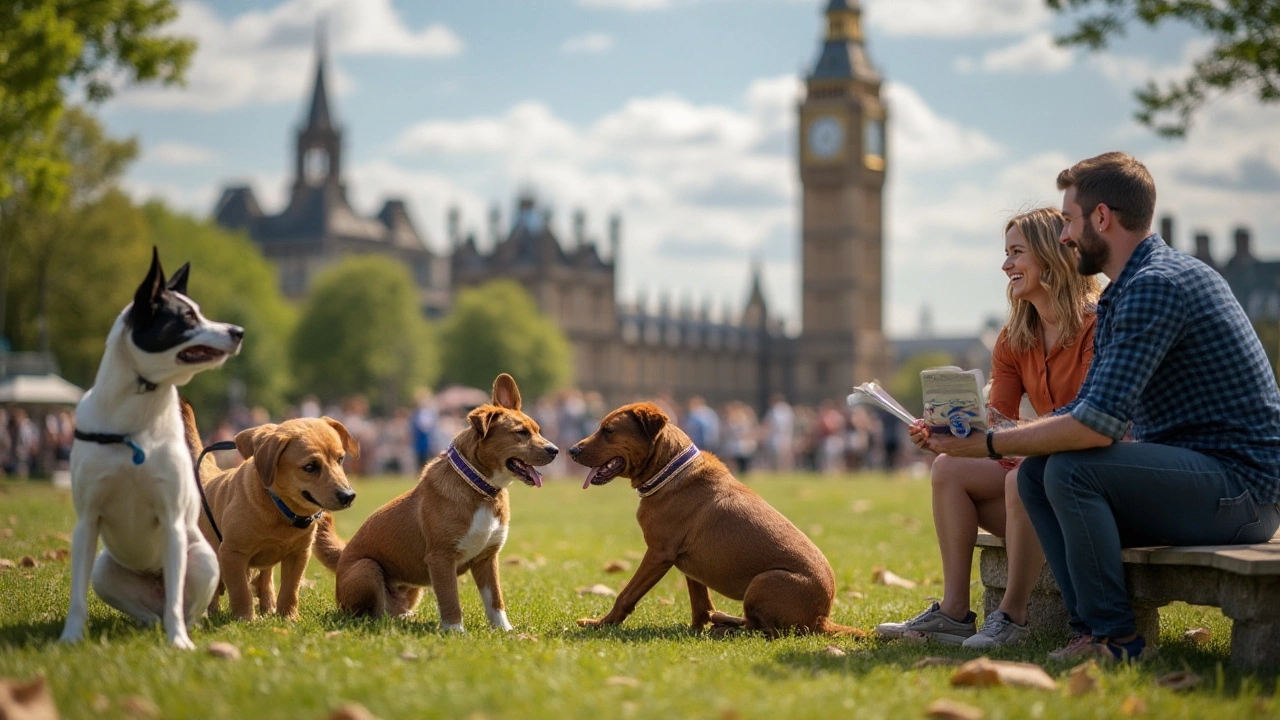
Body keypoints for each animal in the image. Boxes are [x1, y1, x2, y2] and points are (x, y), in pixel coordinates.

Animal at [60, 249, 244, 648]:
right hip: (104, 569)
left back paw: (183, 629)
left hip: (203, 558)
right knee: (150, 612)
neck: (135, 422)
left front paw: (179, 644)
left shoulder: (173, 521)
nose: (238, 332)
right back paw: (146, 626)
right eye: (187, 317)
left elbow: (177, 602)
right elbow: (77, 597)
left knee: (182, 606)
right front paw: (70, 637)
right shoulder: (86, 522)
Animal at [181, 399, 360, 620]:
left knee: (265, 582)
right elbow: (240, 591)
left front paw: (288, 617)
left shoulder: (299, 554)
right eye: (310, 467)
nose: (348, 496)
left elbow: (290, 589)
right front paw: (245, 619)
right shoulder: (232, 553)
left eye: (341, 459)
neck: (280, 510)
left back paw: (268, 607)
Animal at [312, 371, 558, 630]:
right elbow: (450, 600)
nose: (555, 450)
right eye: (521, 433)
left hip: (411, 589)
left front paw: (505, 630)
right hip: (367, 569)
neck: (480, 491)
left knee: (394, 610)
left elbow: (496, 601)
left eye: (538, 430)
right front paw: (455, 631)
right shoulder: (441, 558)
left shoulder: (487, 558)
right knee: (366, 612)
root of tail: (342, 558)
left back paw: (405, 617)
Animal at [568, 399, 860, 635]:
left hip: (763, 581)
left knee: (765, 630)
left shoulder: (658, 554)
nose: (571, 450)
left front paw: (601, 623)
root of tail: (822, 618)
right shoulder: (687, 563)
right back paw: (723, 621)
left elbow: (626, 595)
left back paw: (729, 627)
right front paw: (697, 628)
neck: (669, 471)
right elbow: (700, 604)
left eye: (608, 431)